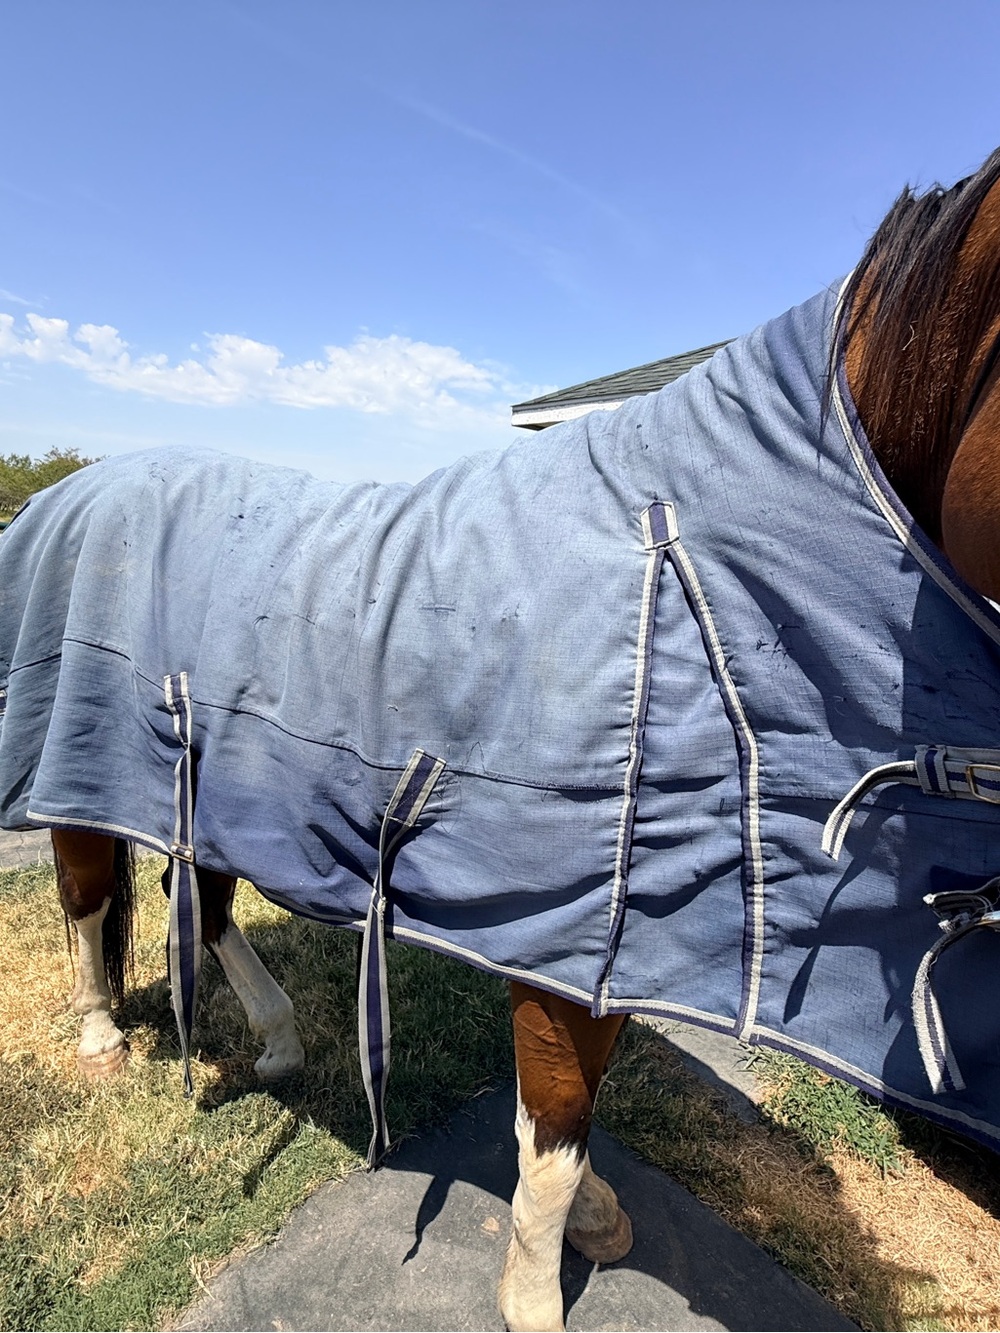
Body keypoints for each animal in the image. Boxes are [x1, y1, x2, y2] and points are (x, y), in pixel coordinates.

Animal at [5, 144, 1000, 1333]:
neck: (684, 548)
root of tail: (69, 490)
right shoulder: (564, 942)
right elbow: (558, 1121)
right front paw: (536, 1289)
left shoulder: (606, 944)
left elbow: (563, 1115)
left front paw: (587, 1223)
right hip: (86, 767)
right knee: (84, 891)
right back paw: (102, 1038)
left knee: (193, 900)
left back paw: (283, 1042)